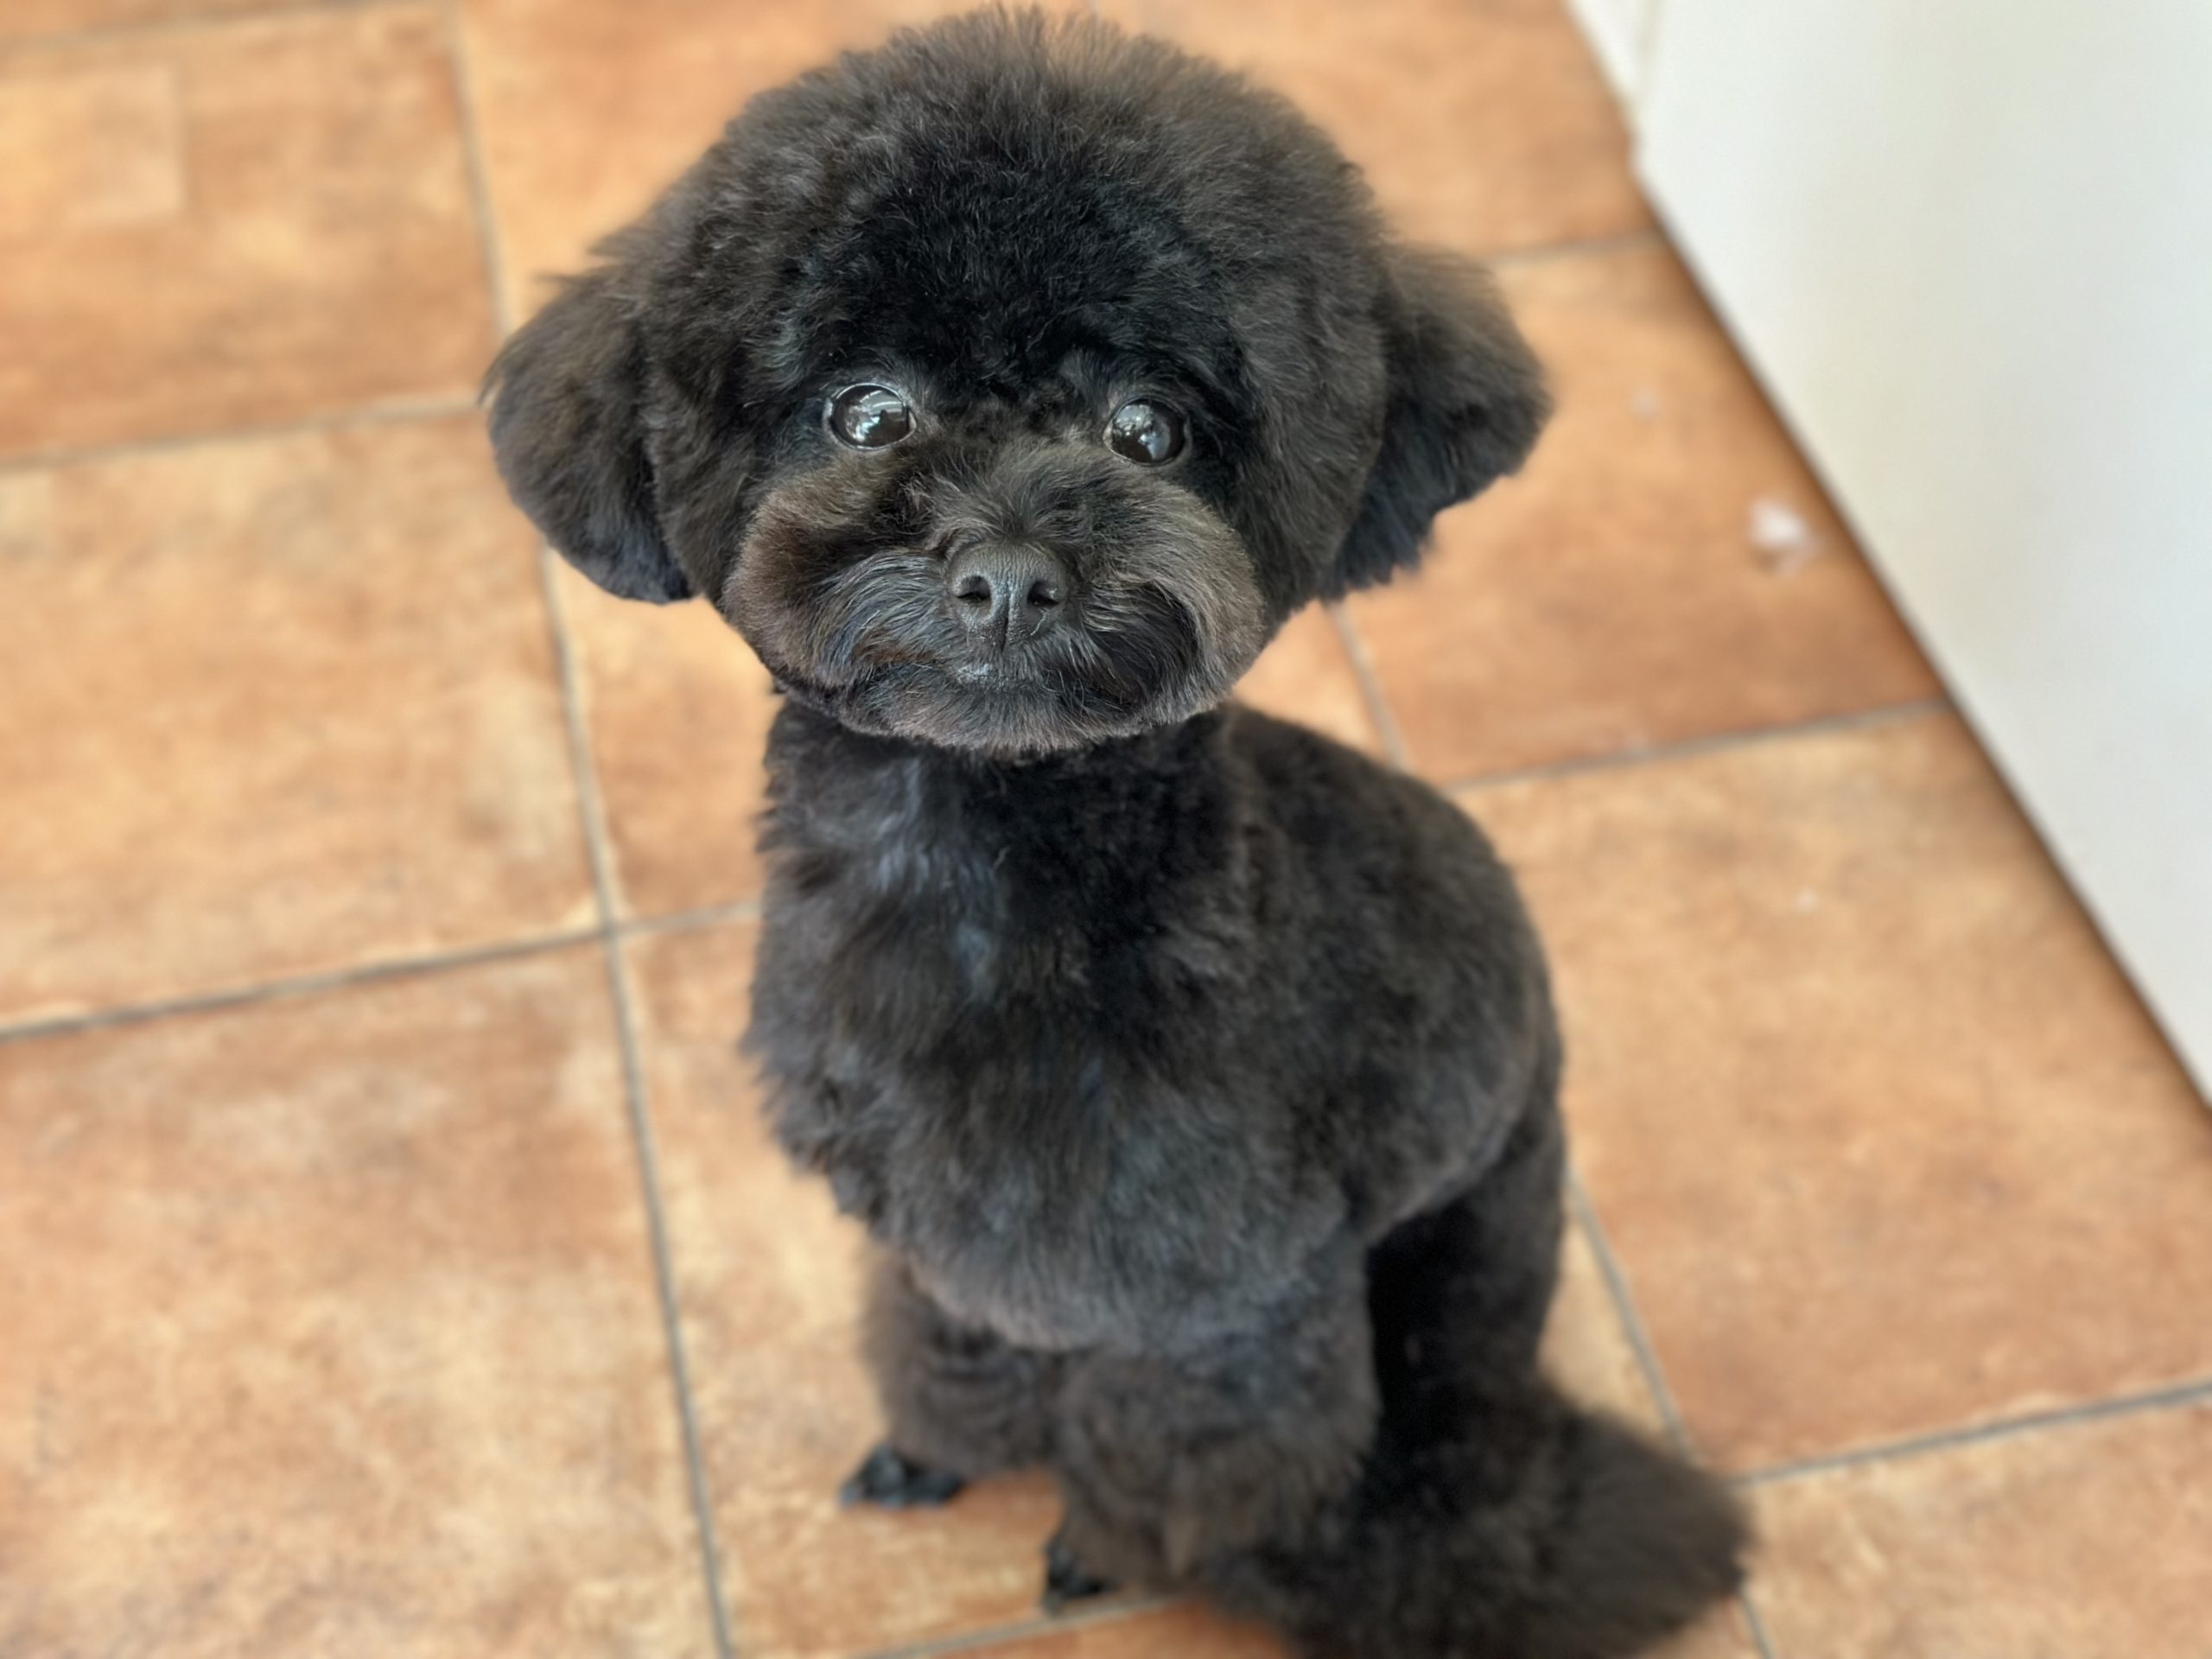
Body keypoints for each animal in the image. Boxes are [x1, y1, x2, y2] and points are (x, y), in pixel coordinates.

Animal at [485, 11, 1746, 1654]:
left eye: (1152, 430)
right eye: (868, 410)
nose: (1011, 572)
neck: (980, 865)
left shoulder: (1218, 1318)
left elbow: (1171, 1462)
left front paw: (1103, 1553)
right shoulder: (946, 1250)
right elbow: (950, 1356)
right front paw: (933, 1454)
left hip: (1465, 1274)